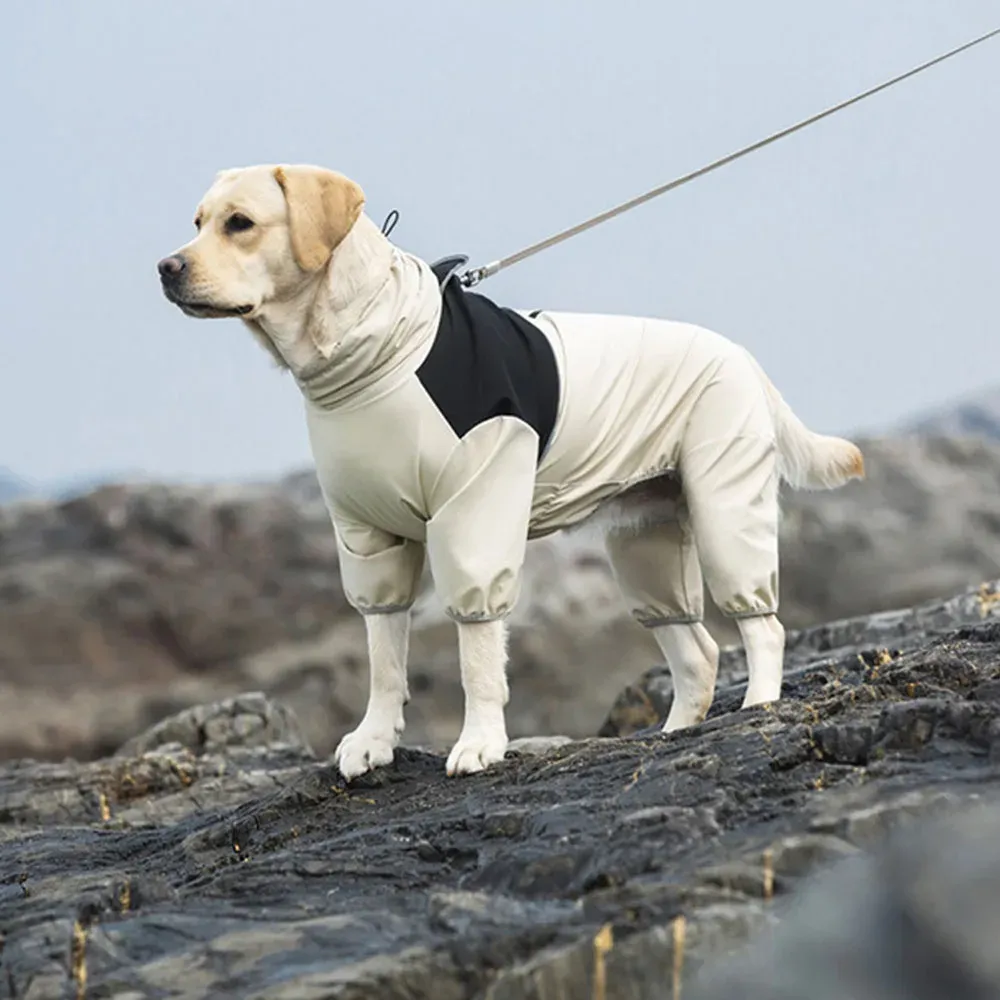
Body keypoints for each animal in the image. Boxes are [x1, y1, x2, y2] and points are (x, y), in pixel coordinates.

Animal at [160, 164, 864, 780]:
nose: (166, 268)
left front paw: (478, 745)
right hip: (645, 543)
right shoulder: (367, 536)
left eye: (240, 223)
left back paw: (758, 708)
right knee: (698, 652)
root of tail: (741, 355)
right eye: (197, 222)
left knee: (763, 626)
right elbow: (383, 656)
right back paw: (674, 734)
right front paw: (373, 741)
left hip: (724, 510)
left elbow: (475, 656)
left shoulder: (475, 513)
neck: (370, 348)